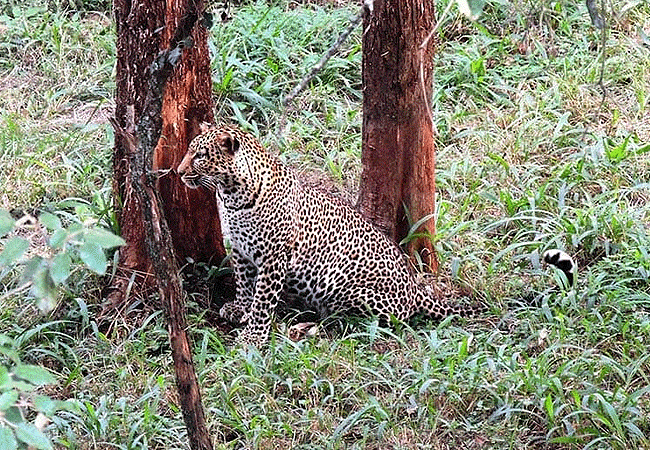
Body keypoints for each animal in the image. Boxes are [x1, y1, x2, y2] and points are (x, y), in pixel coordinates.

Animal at [176, 125, 476, 346]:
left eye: (200, 156)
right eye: (189, 151)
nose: (178, 172)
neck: (231, 195)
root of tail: (415, 288)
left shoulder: (274, 257)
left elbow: (263, 300)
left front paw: (253, 336)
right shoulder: (239, 249)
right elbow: (243, 283)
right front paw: (240, 308)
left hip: (342, 285)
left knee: (377, 320)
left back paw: (315, 323)